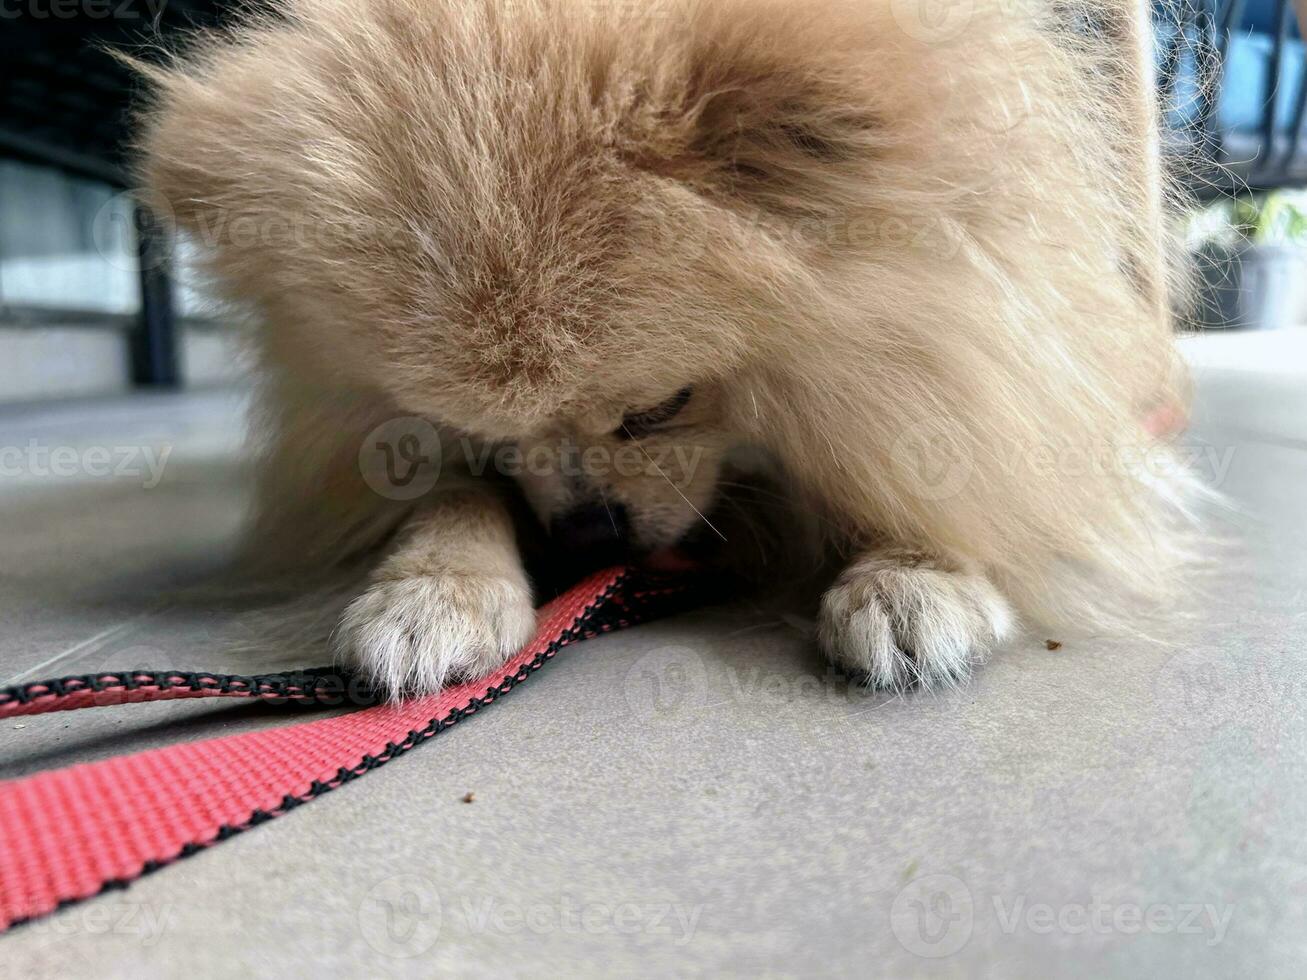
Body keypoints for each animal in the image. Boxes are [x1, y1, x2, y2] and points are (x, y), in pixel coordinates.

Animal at [132, 0, 1197, 695]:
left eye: (658, 408)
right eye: (483, 434)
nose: (586, 539)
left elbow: (942, 447)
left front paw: (916, 571)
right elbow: (448, 495)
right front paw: (436, 586)